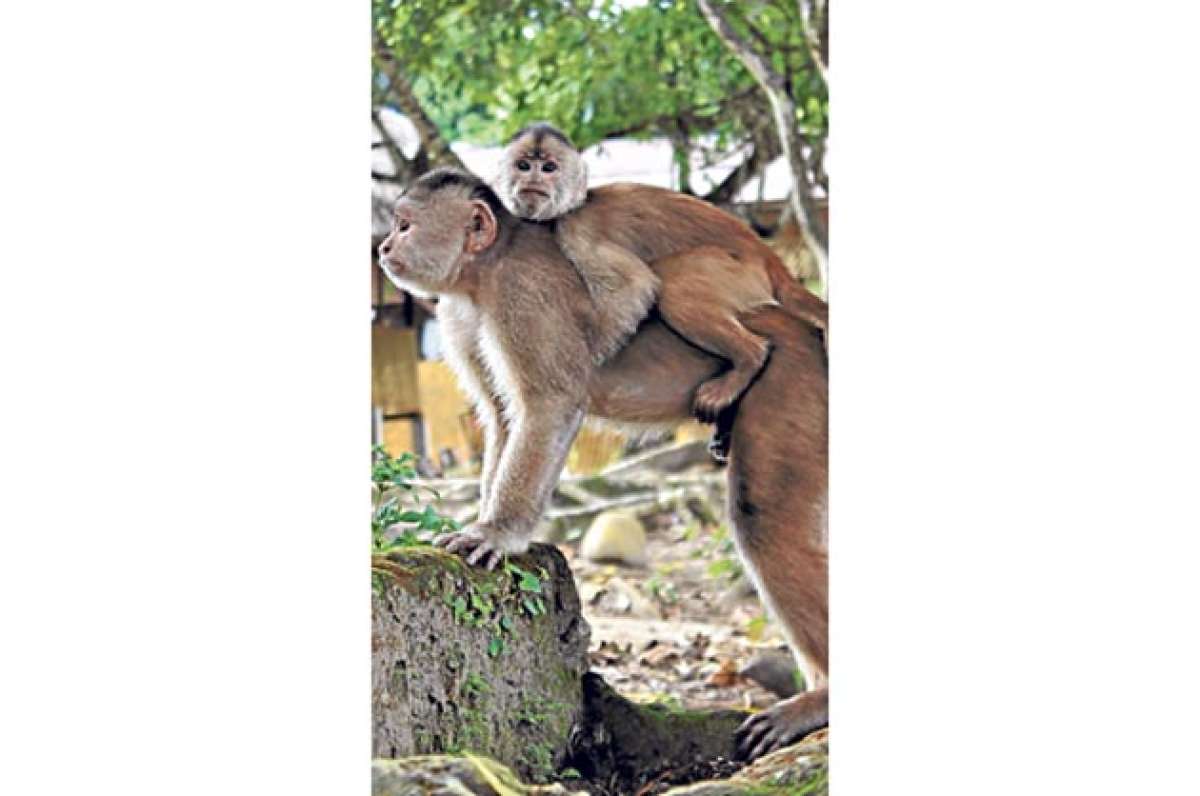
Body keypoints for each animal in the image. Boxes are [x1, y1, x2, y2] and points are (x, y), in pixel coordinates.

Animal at [376, 168, 827, 759]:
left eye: (405, 225)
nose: (384, 247)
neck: (485, 271)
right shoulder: (458, 315)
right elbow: (500, 418)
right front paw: (488, 524)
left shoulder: (522, 296)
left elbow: (549, 404)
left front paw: (498, 533)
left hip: (792, 372)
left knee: (763, 519)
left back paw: (819, 701)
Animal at [495, 122, 828, 460]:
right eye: (524, 166)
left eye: (548, 168)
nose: (532, 180)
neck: (571, 208)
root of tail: (768, 256)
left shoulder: (576, 230)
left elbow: (635, 286)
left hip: (738, 272)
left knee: (673, 286)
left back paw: (749, 358)